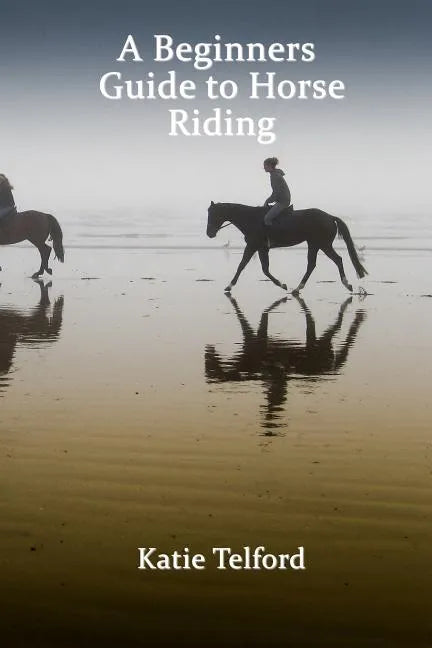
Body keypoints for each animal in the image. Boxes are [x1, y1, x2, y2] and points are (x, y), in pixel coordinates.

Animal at [206, 202, 367, 294]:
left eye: (213, 214)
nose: (209, 233)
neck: (251, 218)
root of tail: (330, 217)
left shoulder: (253, 245)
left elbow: (242, 265)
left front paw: (229, 286)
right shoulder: (261, 248)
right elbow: (264, 269)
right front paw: (282, 285)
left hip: (322, 244)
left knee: (337, 260)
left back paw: (346, 284)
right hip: (314, 244)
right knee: (312, 264)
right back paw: (297, 288)